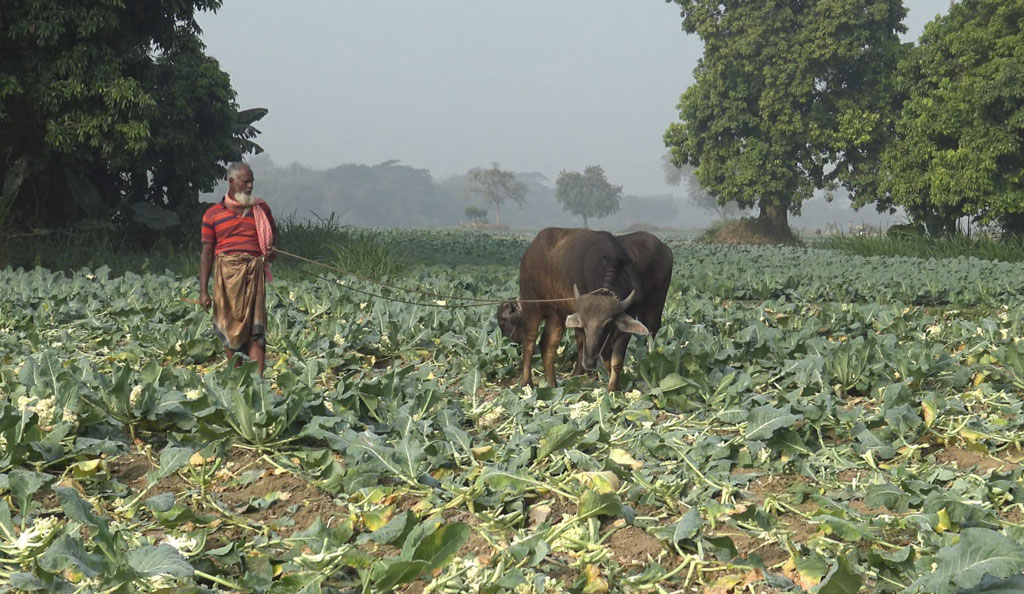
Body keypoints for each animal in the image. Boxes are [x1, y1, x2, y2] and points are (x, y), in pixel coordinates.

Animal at [501, 227, 675, 389]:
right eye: (584, 325)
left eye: (607, 324)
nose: (590, 362)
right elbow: (594, 349)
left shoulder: (625, 322)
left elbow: (616, 359)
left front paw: (614, 388)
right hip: (532, 305)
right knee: (529, 342)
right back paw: (527, 383)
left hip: (558, 314)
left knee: (547, 345)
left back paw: (552, 384)